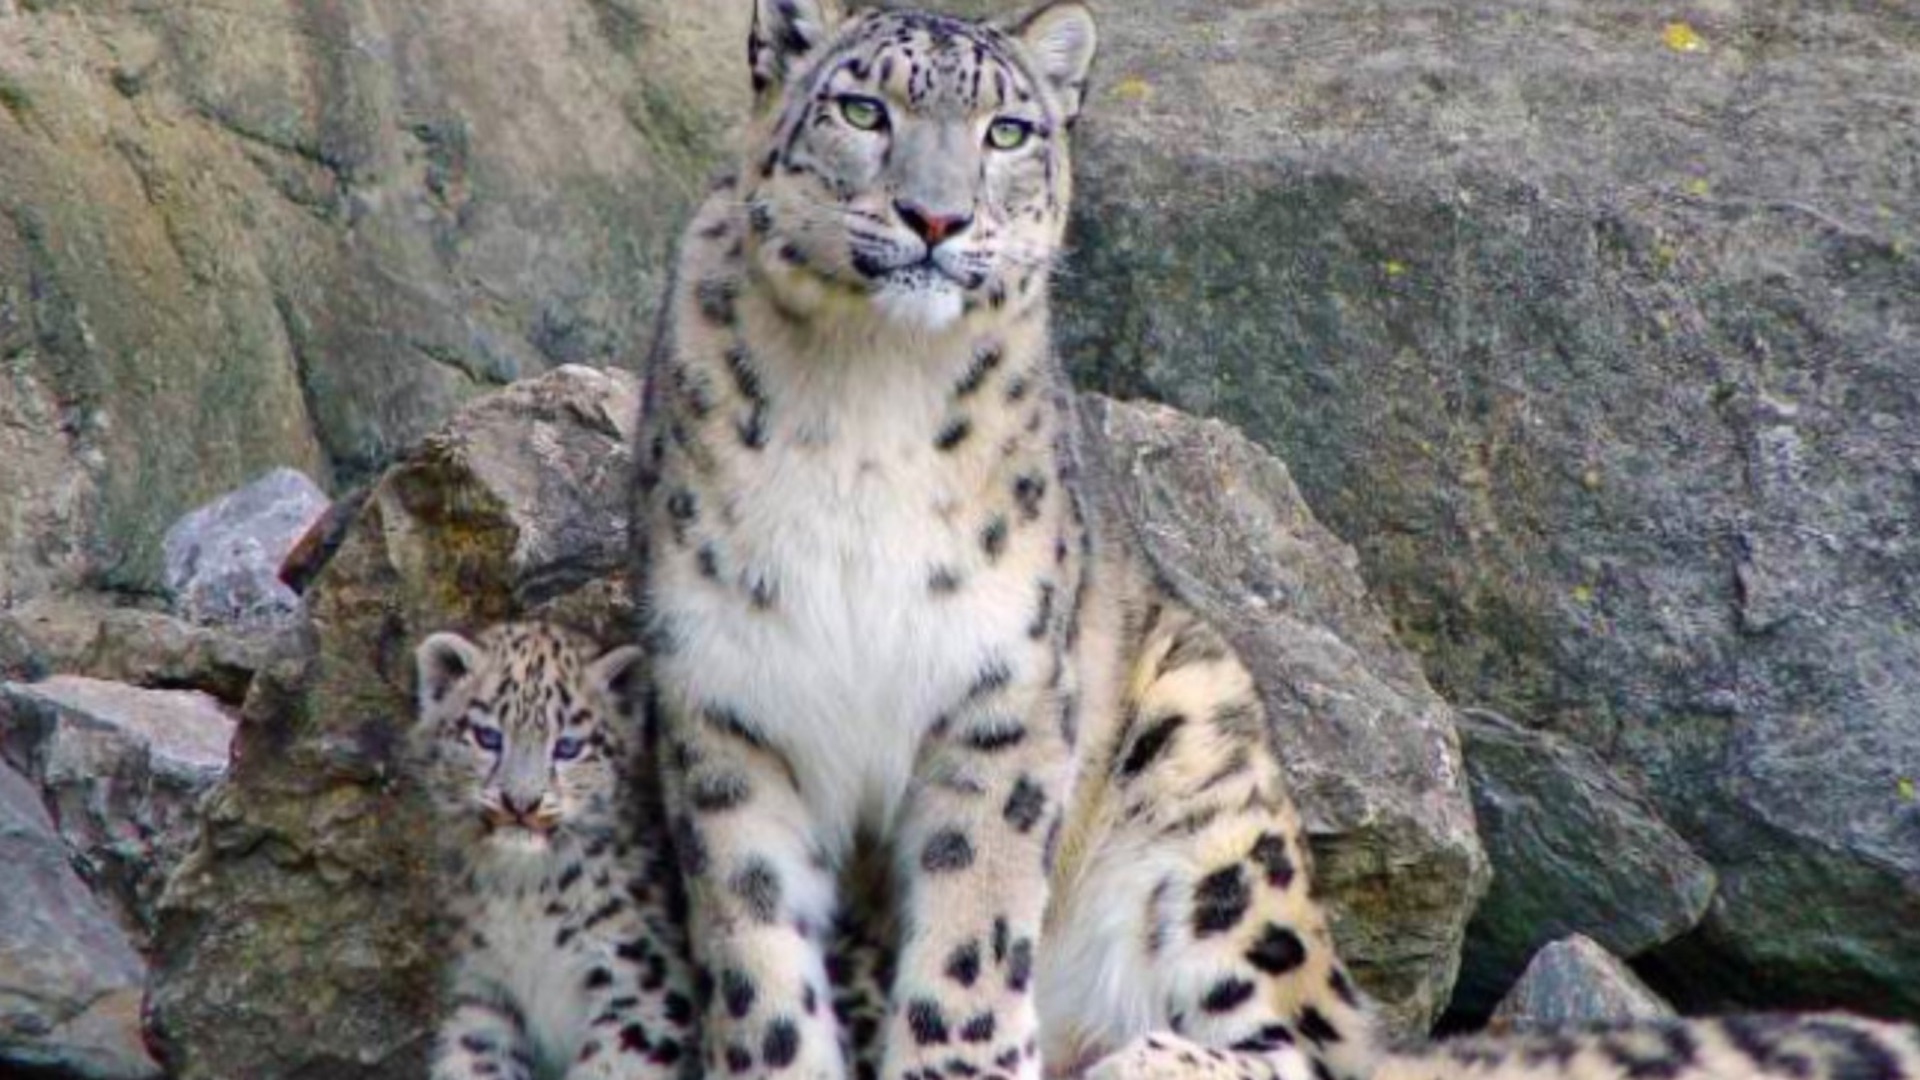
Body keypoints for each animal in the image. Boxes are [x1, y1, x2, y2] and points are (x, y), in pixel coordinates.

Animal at [411, 622, 700, 1080]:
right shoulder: (483, 989)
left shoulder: (642, 984)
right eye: (488, 737)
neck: (522, 891)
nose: (520, 803)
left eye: (568, 747)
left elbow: (606, 1068)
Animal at [623, 5, 1920, 1080]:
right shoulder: (727, 704)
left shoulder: (1002, 698)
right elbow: (756, 956)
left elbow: (970, 935)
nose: (936, 217)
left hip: (1207, 791)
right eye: (863, 110)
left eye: (1006, 129)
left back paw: (1142, 1060)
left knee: (1312, 1046)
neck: (863, 395)